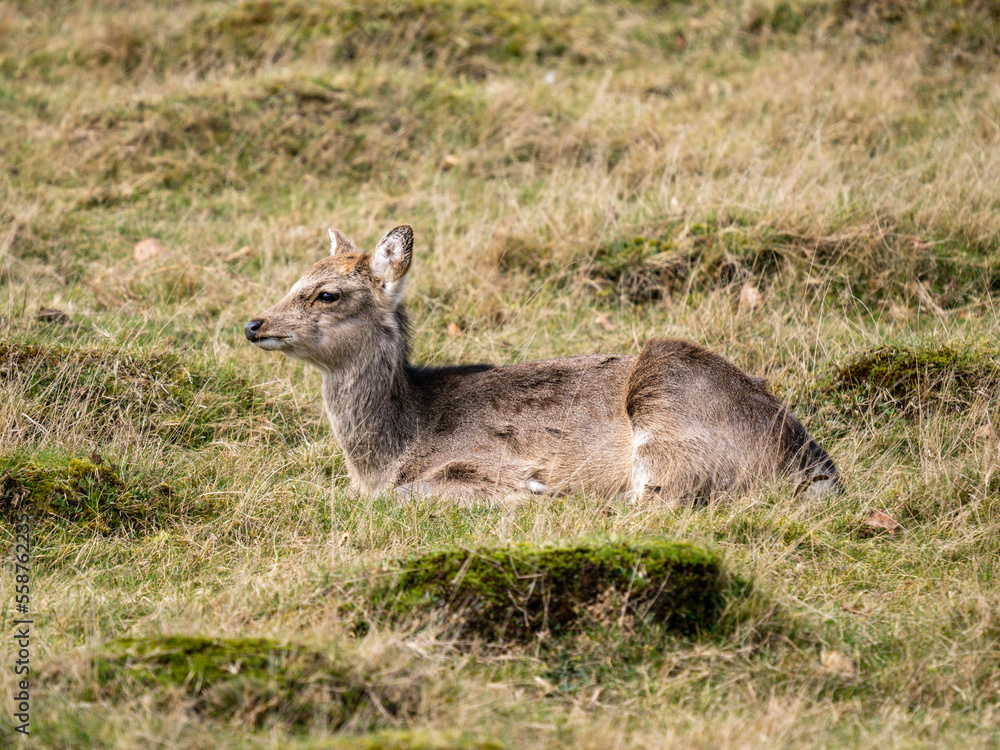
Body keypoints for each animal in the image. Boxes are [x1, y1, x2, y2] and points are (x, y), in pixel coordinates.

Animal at [245, 225, 839, 502]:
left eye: (327, 294)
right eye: (295, 280)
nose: (254, 324)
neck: (390, 453)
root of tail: (815, 468)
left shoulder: (477, 463)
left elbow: (415, 493)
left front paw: (534, 492)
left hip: (667, 402)